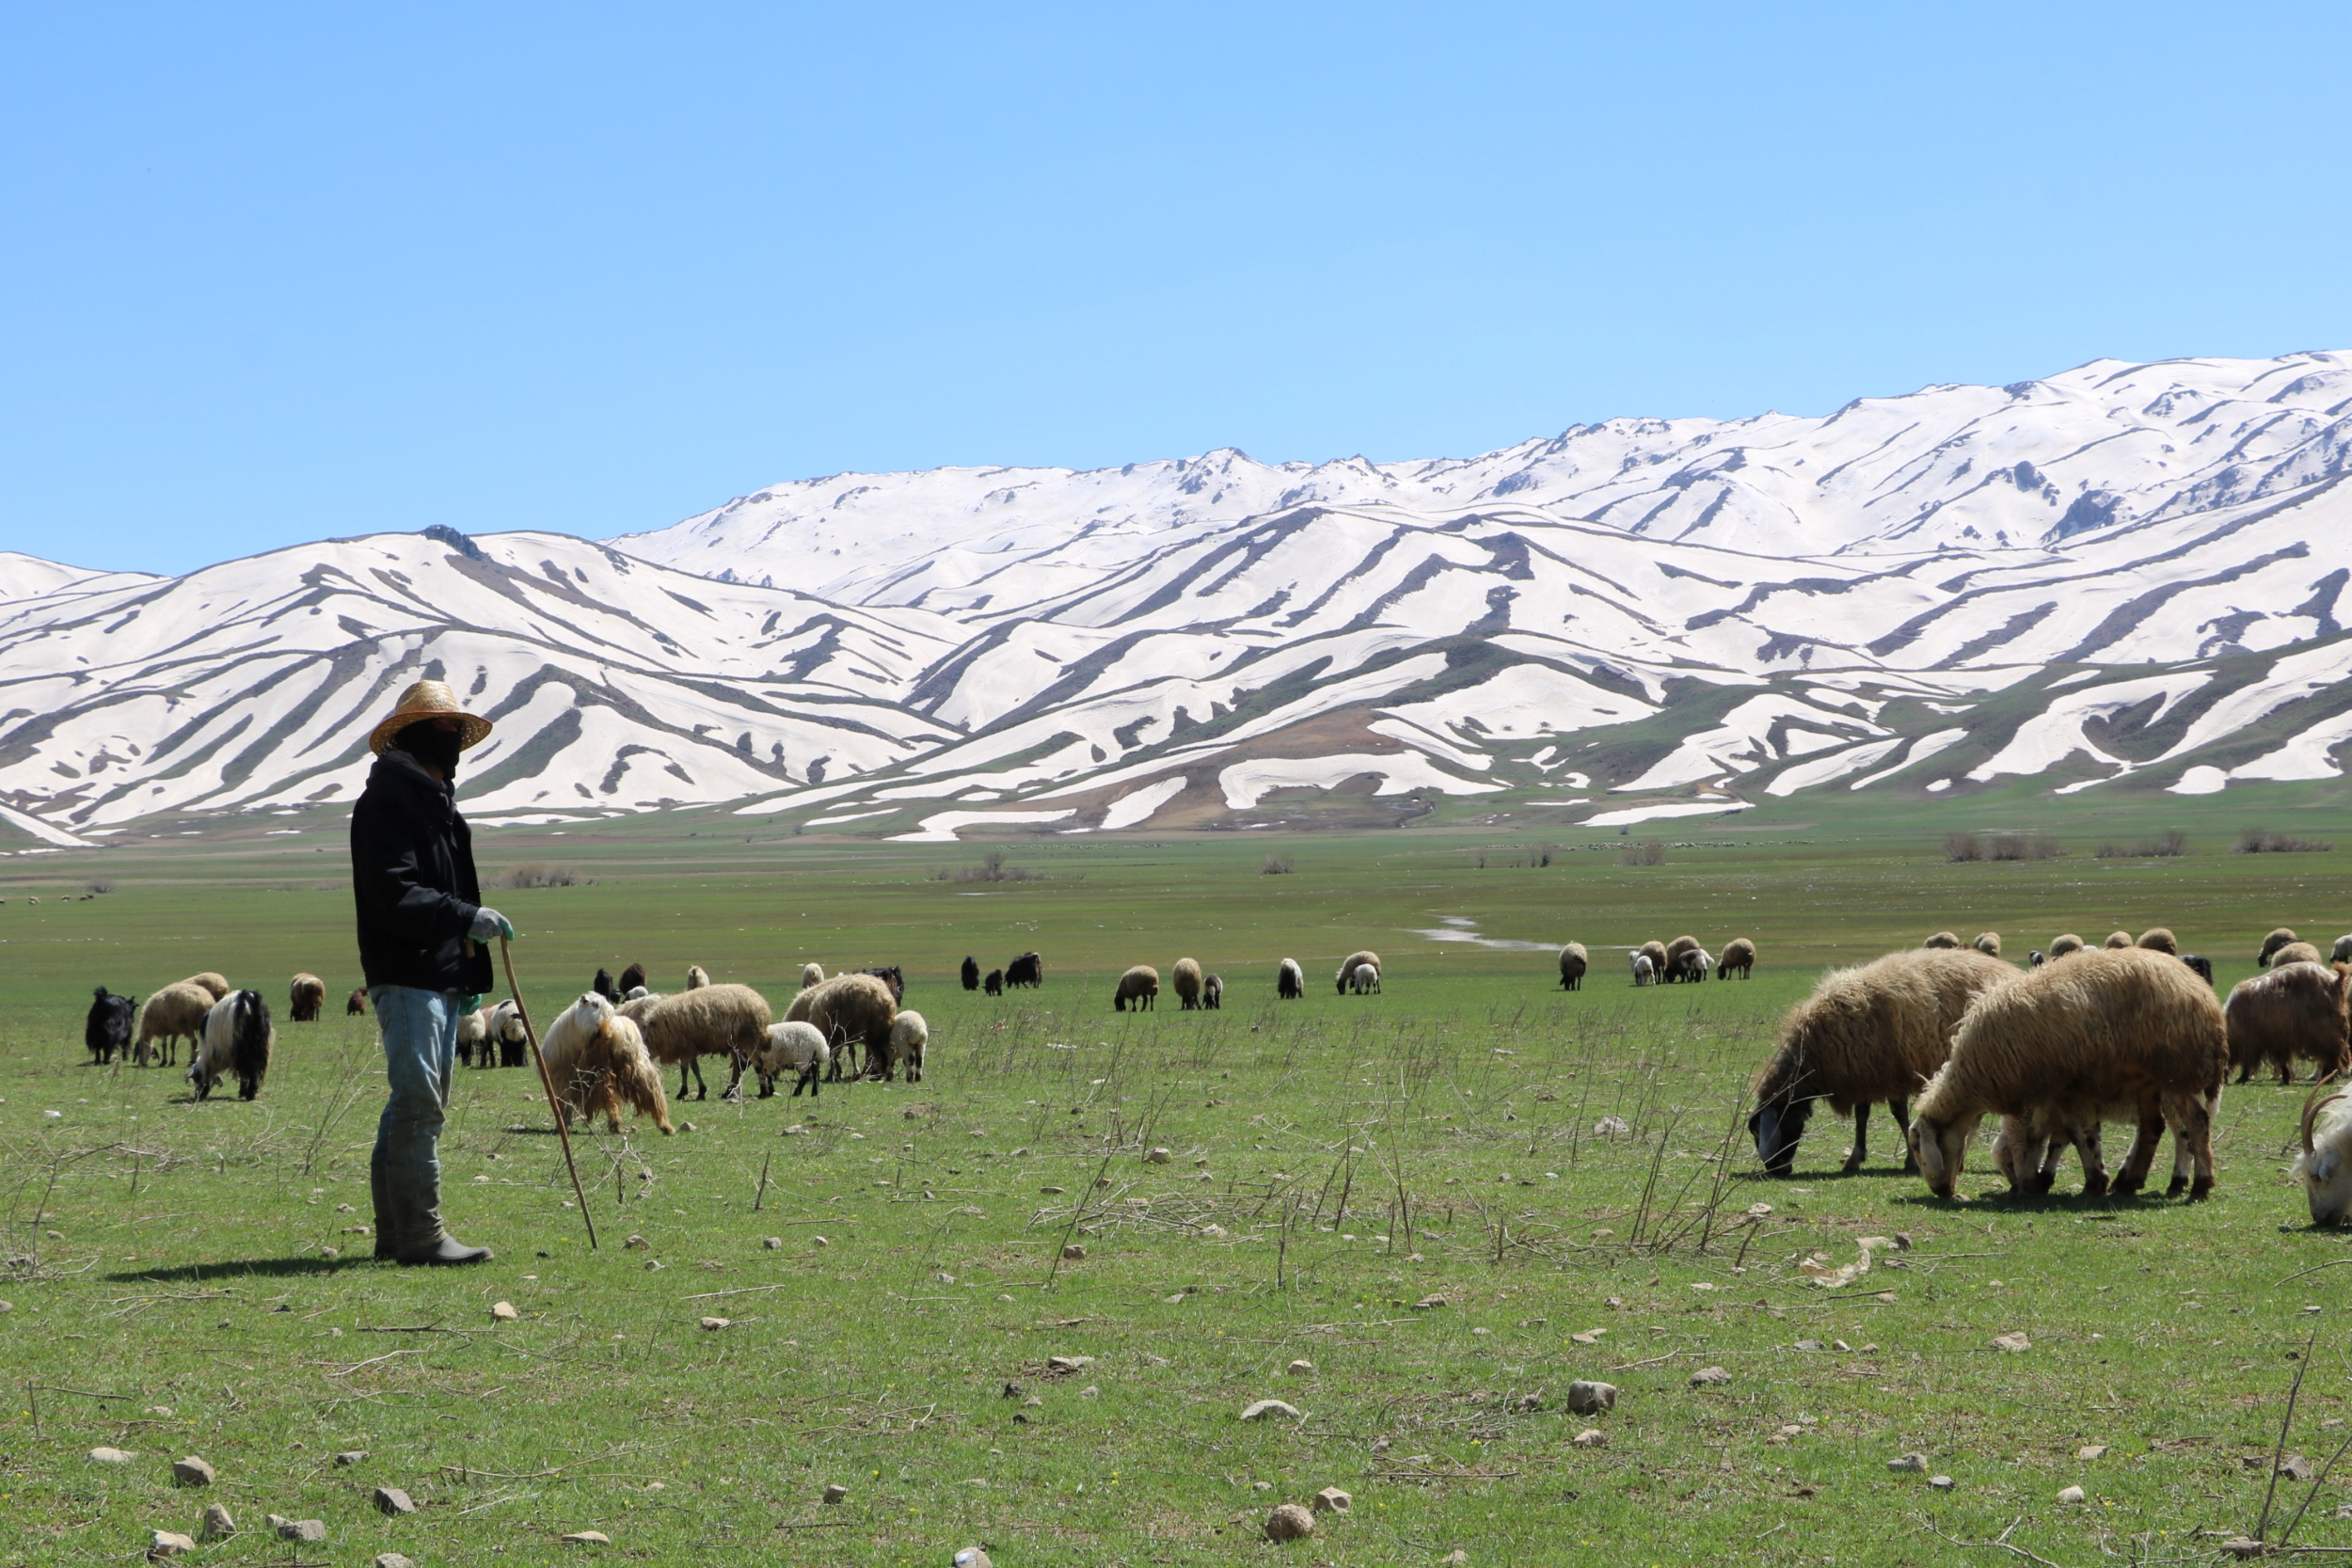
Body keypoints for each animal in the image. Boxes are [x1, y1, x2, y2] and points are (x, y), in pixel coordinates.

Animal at [538, 1001, 673, 1132]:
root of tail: (610, 1030)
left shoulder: (563, 1082)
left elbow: (565, 1104)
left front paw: (563, 1124)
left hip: (600, 1069)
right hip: (631, 1067)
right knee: (649, 1092)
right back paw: (663, 1125)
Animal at [621, 982, 776, 1104]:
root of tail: (762, 1004)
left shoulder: (684, 1046)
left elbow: (688, 1069)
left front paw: (688, 1092)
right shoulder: (688, 1047)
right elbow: (691, 1069)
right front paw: (697, 1091)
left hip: (749, 1038)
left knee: (757, 1064)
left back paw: (763, 1092)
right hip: (736, 1043)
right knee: (738, 1067)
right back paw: (729, 1092)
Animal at [1740, 944, 2013, 1175]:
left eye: (1762, 1132)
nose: (1777, 1170)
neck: (1815, 1055)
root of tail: (2011, 972)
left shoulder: (1893, 1072)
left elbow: (1899, 1114)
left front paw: (1910, 1161)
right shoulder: (1863, 1073)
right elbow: (1862, 1115)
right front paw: (1855, 1158)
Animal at [1910, 944, 2220, 1203]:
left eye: (1918, 1150)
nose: (1940, 1192)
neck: (1975, 1072)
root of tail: (2202, 992)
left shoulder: (2058, 1088)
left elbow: (2059, 1135)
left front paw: (2044, 1182)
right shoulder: (2059, 1091)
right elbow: (2058, 1134)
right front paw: (2060, 1182)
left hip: (2175, 1070)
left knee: (2195, 1122)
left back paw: (2199, 1185)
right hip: (2148, 1080)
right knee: (2152, 1127)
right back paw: (2131, 1182)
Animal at [2220, 963, 2352, 1085]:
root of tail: (2335, 980)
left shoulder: (2254, 1040)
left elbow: (2249, 1061)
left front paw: (2242, 1078)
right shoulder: (2278, 1039)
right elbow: (2282, 1060)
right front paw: (2286, 1077)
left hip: (2325, 1031)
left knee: (2332, 1054)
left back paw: (2327, 1079)